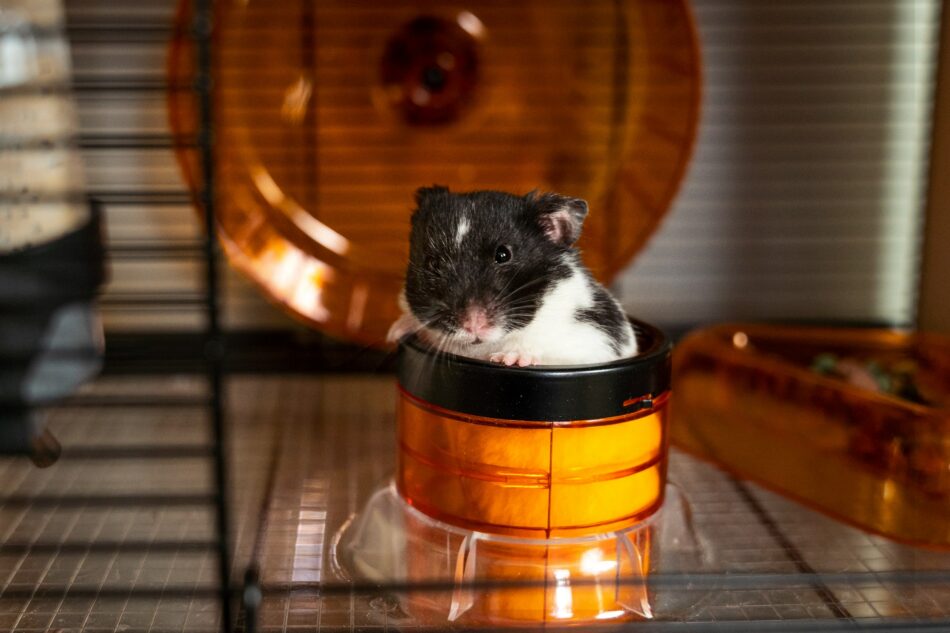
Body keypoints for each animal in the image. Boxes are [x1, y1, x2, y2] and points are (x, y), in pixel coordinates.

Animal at [386, 186, 640, 366]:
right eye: (433, 263)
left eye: (503, 254)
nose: (473, 325)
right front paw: (394, 333)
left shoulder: (595, 338)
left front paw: (509, 359)